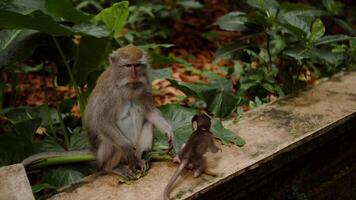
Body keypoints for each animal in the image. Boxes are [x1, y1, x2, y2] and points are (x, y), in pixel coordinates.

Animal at [21, 44, 175, 180]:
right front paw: (126, 147)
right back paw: (112, 167)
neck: (127, 87)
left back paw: (138, 160)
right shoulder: (109, 93)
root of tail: (93, 150)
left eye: (138, 65)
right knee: (110, 141)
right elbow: (101, 121)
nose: (134, 76)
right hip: (104, 153)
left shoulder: (146, 85)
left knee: (147, 123)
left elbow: (149, 112)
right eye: (128, 66)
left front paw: (169, 131)